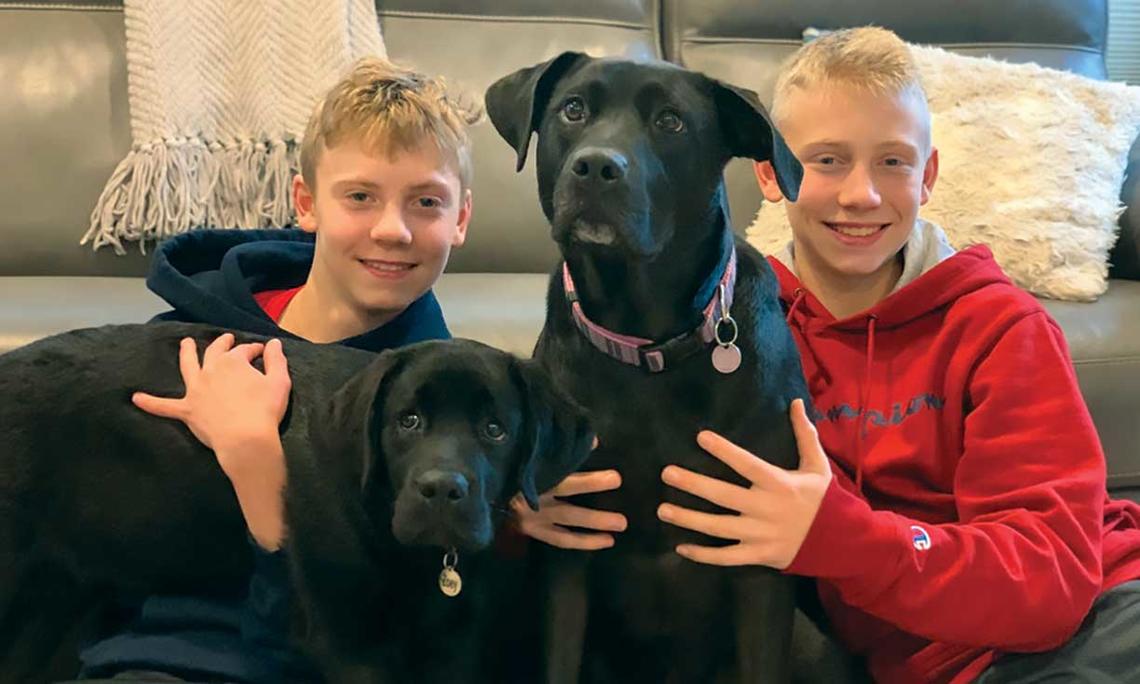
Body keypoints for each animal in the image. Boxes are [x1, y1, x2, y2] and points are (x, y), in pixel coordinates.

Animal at [485, 54, 816, 684]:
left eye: (671, 121)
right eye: (573, 109)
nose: (595, 168)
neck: (647, 343)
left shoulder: (759, 544)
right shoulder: (572, 542)